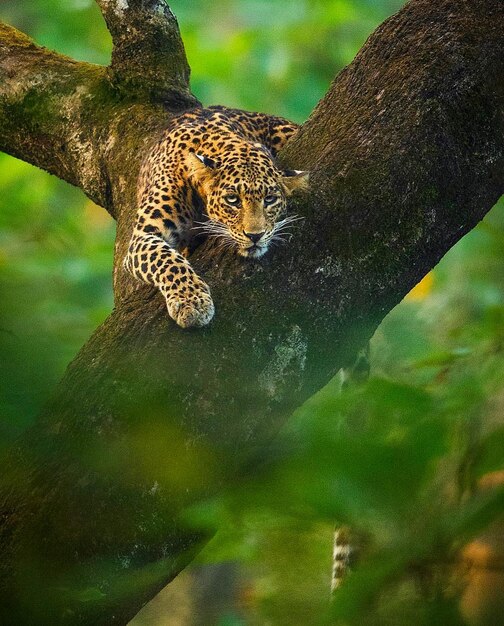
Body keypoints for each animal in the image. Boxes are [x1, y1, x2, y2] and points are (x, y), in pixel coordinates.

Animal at [124, 103, 310, 326]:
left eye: (269, 199)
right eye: (232, 200)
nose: (255, 236)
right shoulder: (143, 235)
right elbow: (166, 259)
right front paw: (191, 302)